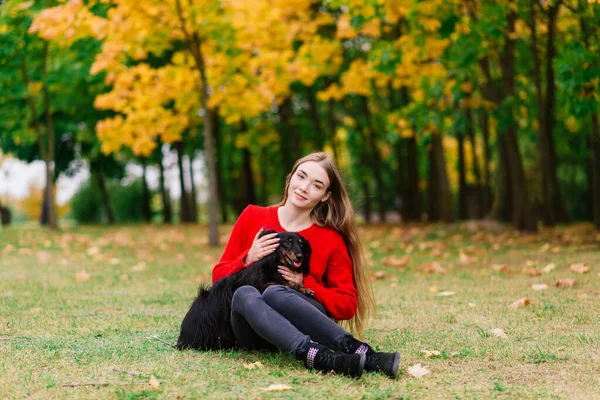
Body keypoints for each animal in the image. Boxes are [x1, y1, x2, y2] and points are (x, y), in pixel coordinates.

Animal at [176, 231, 312, 350]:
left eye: (301, 244)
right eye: (287, 242)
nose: (300, 257)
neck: (276, 265)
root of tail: (182, 338)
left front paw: (304, 289)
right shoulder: (259, 284)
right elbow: (276, 283)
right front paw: (293, 285)